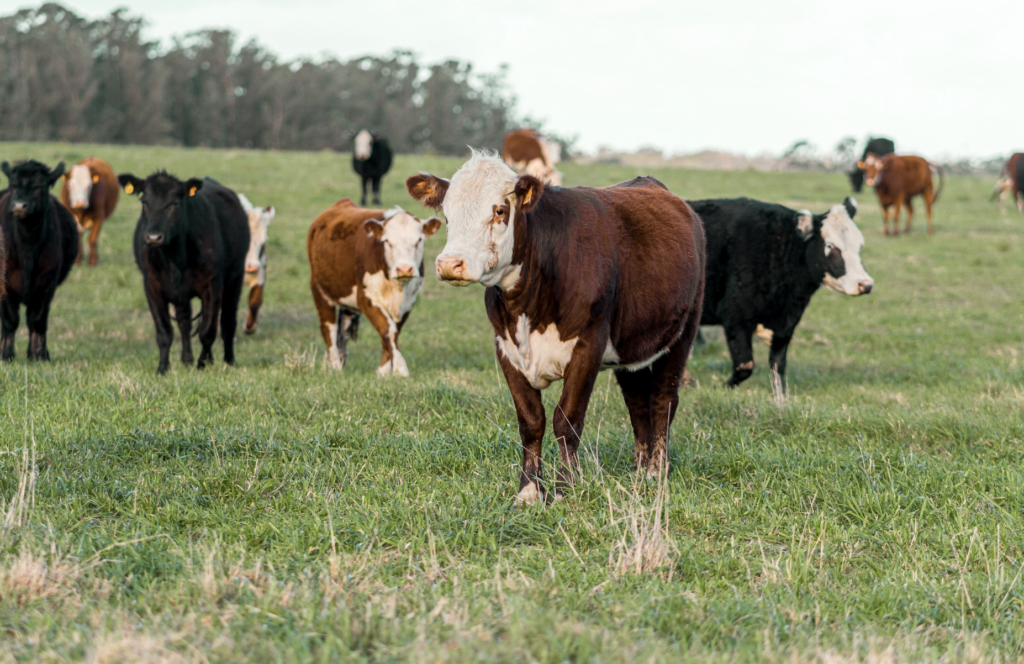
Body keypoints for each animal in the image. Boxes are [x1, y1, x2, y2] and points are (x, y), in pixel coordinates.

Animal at [0, 160, 78, 361]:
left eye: (39, 186)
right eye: (13, 185)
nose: (19, 206)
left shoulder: (46, 283)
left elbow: (37, 319)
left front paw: (38, 355)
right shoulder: (5, 283)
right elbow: (10, 320)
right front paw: (6, 354)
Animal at [119, 171, 249, 375]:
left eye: (174, 203)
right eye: (144, 202)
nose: (154, 237)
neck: (174, 257)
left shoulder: (213, 284)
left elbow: (207, 330)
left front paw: (203, 363)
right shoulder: (152, 286)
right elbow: (164, 332)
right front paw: (162, 369)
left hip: (235, 278)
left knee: (228, 321)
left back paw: (229, 361)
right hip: (181, 295)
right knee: (184, 322)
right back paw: (186, 359)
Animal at [308, 199, 440, 375]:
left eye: (419, 240)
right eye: (387, 241)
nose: (405, 268)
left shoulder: (409, 302)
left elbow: (393, 333)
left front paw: (383, 373)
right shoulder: (366, 299)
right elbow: (387, 330)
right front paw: (400, 370)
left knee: (343, 331)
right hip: (319, 289)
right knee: (329, 330)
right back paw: (335, 368)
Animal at [407, 150, 705, 505]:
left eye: (499, 210)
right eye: (447, 214)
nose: (450, 264)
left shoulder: (588, 345)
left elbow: (568, 420)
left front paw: (565, 488)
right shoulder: (506, 349)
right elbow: (531, 420)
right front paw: (529, 491)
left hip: (682, 333)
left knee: (662, 400)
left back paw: (657, 474)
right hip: (630, 347)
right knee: (637, 403)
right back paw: (639, 472)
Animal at [689, 196, 872, 391]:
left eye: (859, 245)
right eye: (831, 245)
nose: (866, 284)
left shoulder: (786, 325)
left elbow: (778, 366)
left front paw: (781, 398)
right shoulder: (735, 317)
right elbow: (745, 366)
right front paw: (720, 387)